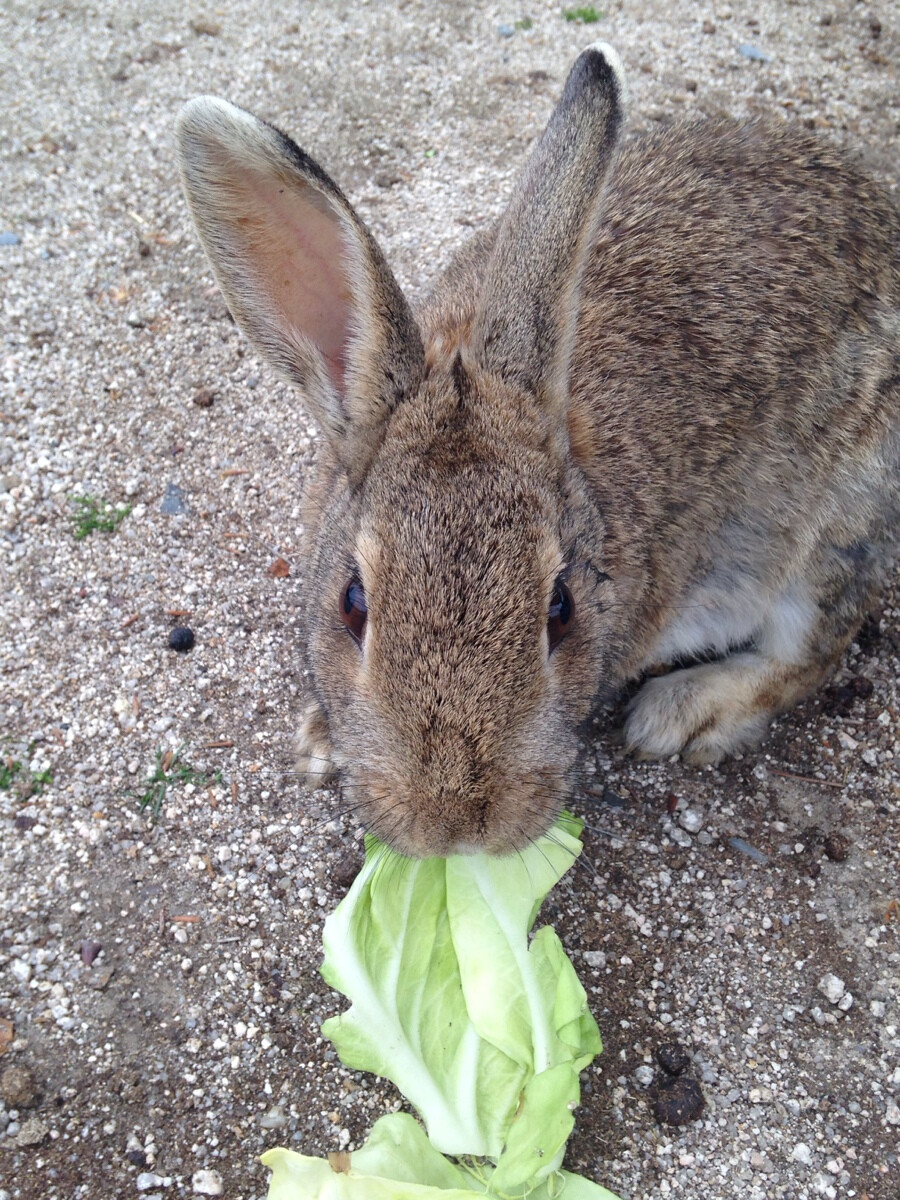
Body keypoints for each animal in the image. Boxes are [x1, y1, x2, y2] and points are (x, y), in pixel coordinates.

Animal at [174, 44, 897, 854]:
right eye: (352, 605)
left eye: (562, 609)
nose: (455, 824)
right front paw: (323, 740)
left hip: (838, 521)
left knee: (814, 650)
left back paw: (683, 711)